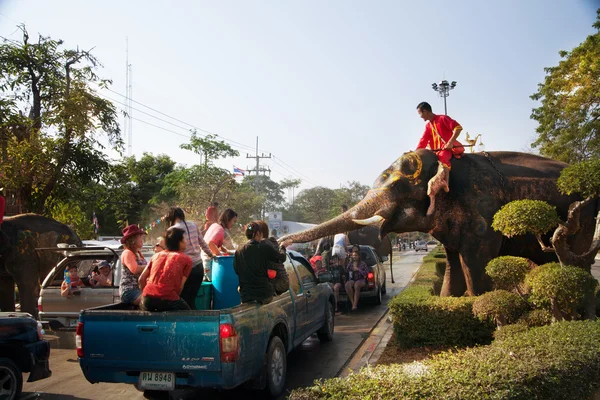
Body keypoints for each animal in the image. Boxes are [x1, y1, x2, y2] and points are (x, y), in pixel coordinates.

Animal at [282, 150, 600, 296]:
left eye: (397, 186)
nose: (281, 242)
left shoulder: (483, 210)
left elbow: (475, 261)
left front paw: (477, 303)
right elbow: (452, 259)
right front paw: (448, 299)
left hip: (583, 215)